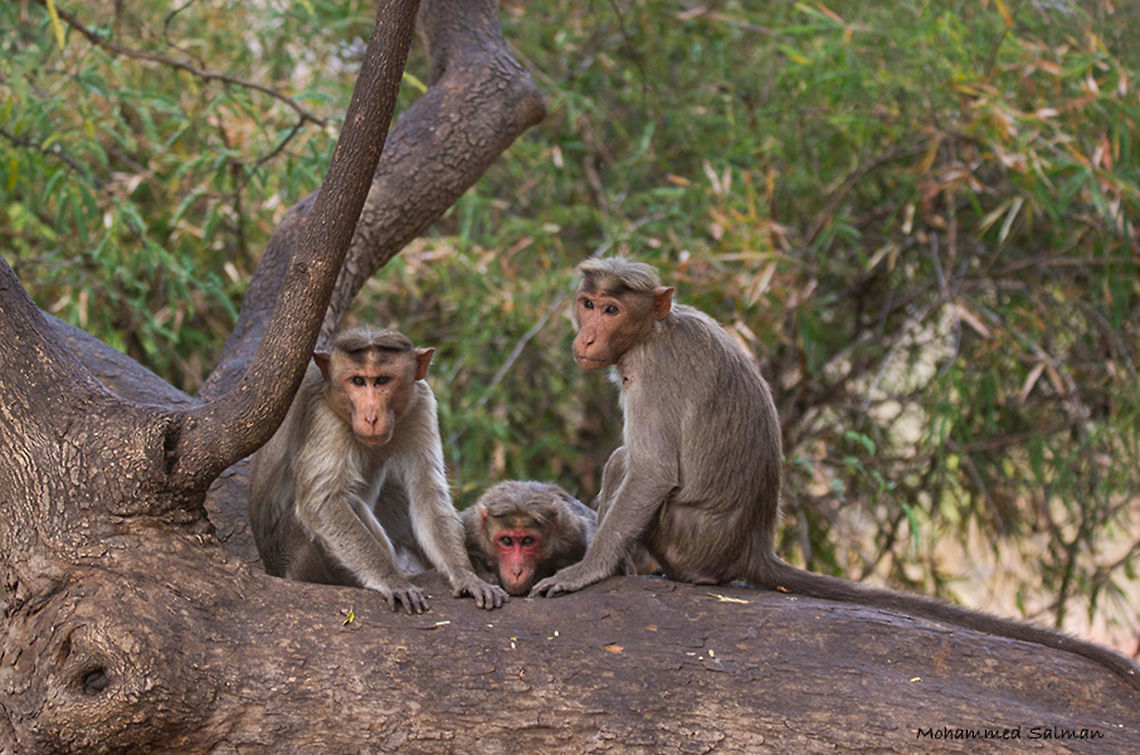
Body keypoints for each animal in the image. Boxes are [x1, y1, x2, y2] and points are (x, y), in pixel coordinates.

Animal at [248, 327, 508, 614]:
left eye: (382, 380)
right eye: (358, 381)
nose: (370, 416)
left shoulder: (422, 402)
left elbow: (428, 493)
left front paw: (466, 575)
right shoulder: (324, 417)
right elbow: (321, 502)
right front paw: (390, 579)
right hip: (297, 557)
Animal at [461, 480, 597, 596]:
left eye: (527, 541)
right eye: (507, 540)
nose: (516, 572)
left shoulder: (571, 532)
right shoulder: (472, 527)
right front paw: (484, 578)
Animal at [531, 256, 1140, 690]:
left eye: (612, 310)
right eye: (588, 303)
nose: (586, 336)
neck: (652, 332)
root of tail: (751, 547)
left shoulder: (652, 372)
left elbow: (653, 471)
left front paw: (585, 571)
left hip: (686, 538)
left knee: (630, 465)